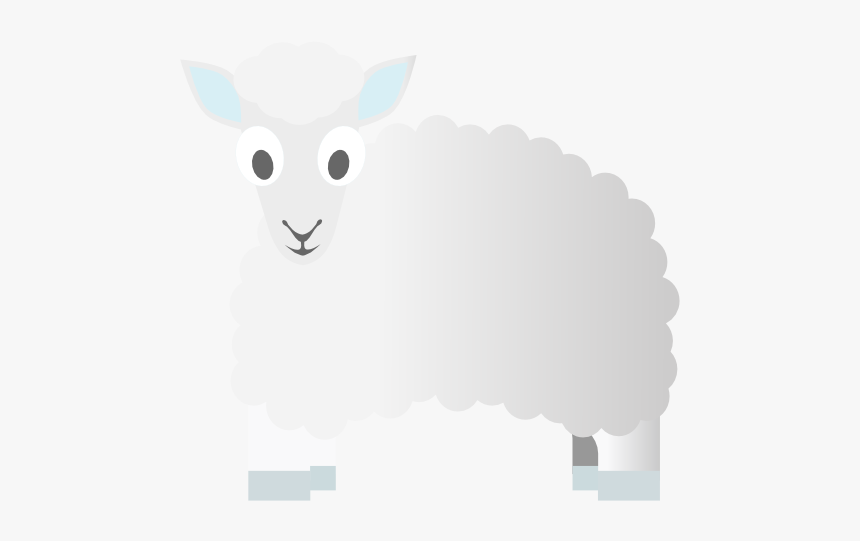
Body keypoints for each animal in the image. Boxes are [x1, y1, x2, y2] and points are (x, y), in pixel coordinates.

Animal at [182, 42, 679, 502]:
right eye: (260, 162)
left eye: (339, 161)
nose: (302, 232)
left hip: (619, 372)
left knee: (631, 437)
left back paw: (620, 486)